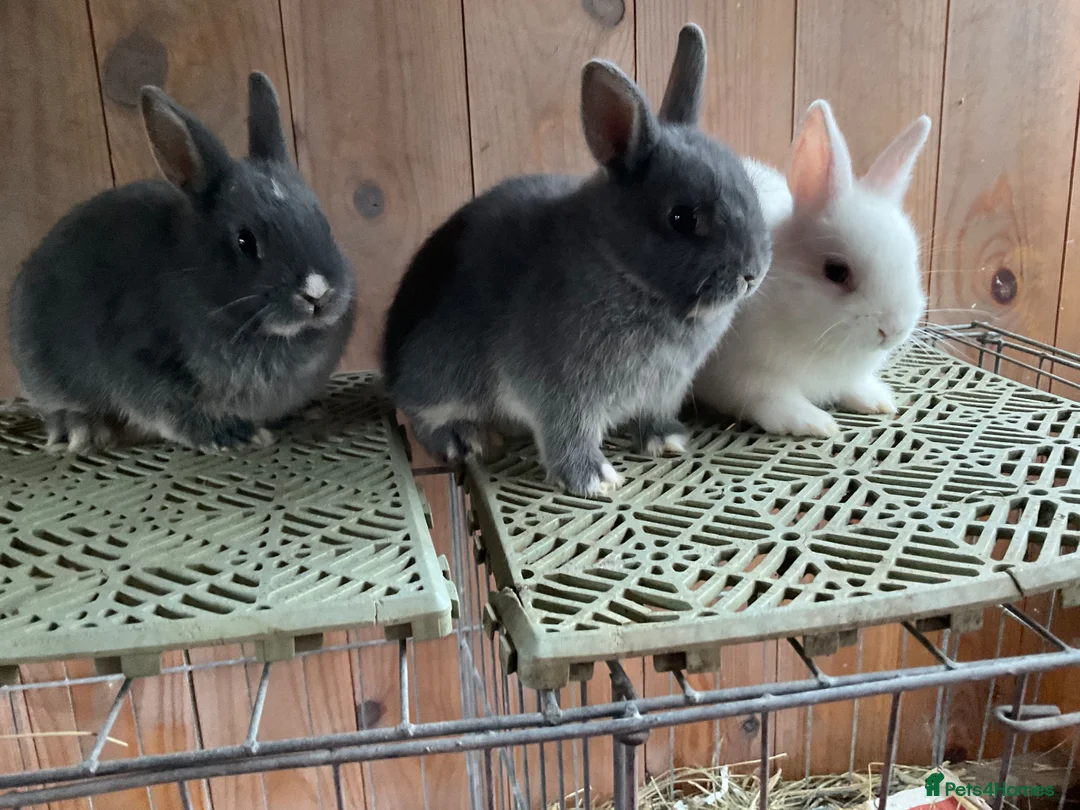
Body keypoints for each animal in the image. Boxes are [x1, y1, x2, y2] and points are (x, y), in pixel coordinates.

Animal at [8, 72, 356, 454]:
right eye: (245, 241)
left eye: (323, 222)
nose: (317, 293)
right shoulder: (143, 362)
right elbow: (174, 411)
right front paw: (233, 436)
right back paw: (83, 431)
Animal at [382, 23, 771, 497]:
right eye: (682, 218)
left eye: (748, 188)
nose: (753, 274)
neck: (620, 266)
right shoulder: (560, 390)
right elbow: (567, 431)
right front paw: (593, 478)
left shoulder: (664, 388)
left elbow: (653, 415)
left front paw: (667, 440)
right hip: (438, 377)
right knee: (424, 418)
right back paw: (469, 439)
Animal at [693, 99, 932, 438]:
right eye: (836, 271)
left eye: (912, 264)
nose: (893, 329)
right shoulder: (744, 377)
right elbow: (772, 397)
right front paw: (813, 422)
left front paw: (876, 400)